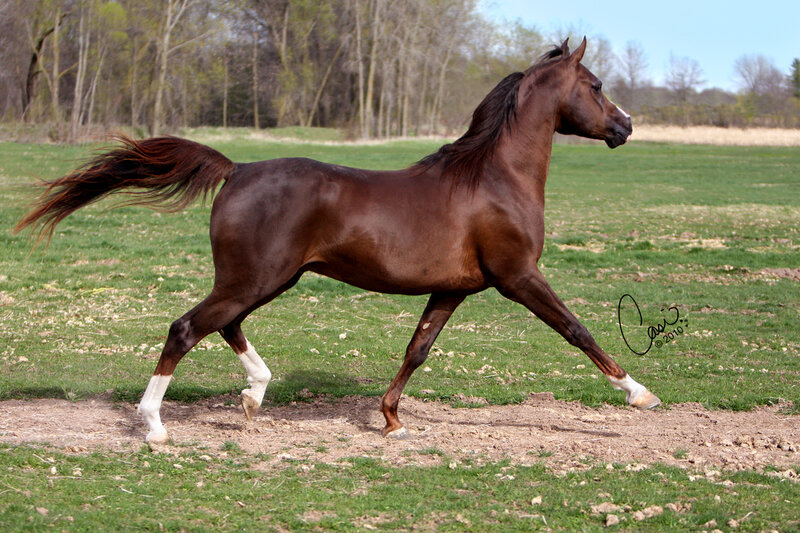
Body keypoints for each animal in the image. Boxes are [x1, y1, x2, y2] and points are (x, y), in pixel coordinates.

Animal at [15, 38, 660, 444]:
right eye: (596, 84)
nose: (626, 127)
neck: (494, 178)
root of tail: (237, 169)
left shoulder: (452, 290)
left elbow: (417, 350)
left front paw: (392, 420)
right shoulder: (518, 276)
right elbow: (576, 329)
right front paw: (639, 394)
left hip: (264, 279)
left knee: (223, 324)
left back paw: (254, 396)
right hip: (258, 276)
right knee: (187, 327)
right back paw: (154, 426)